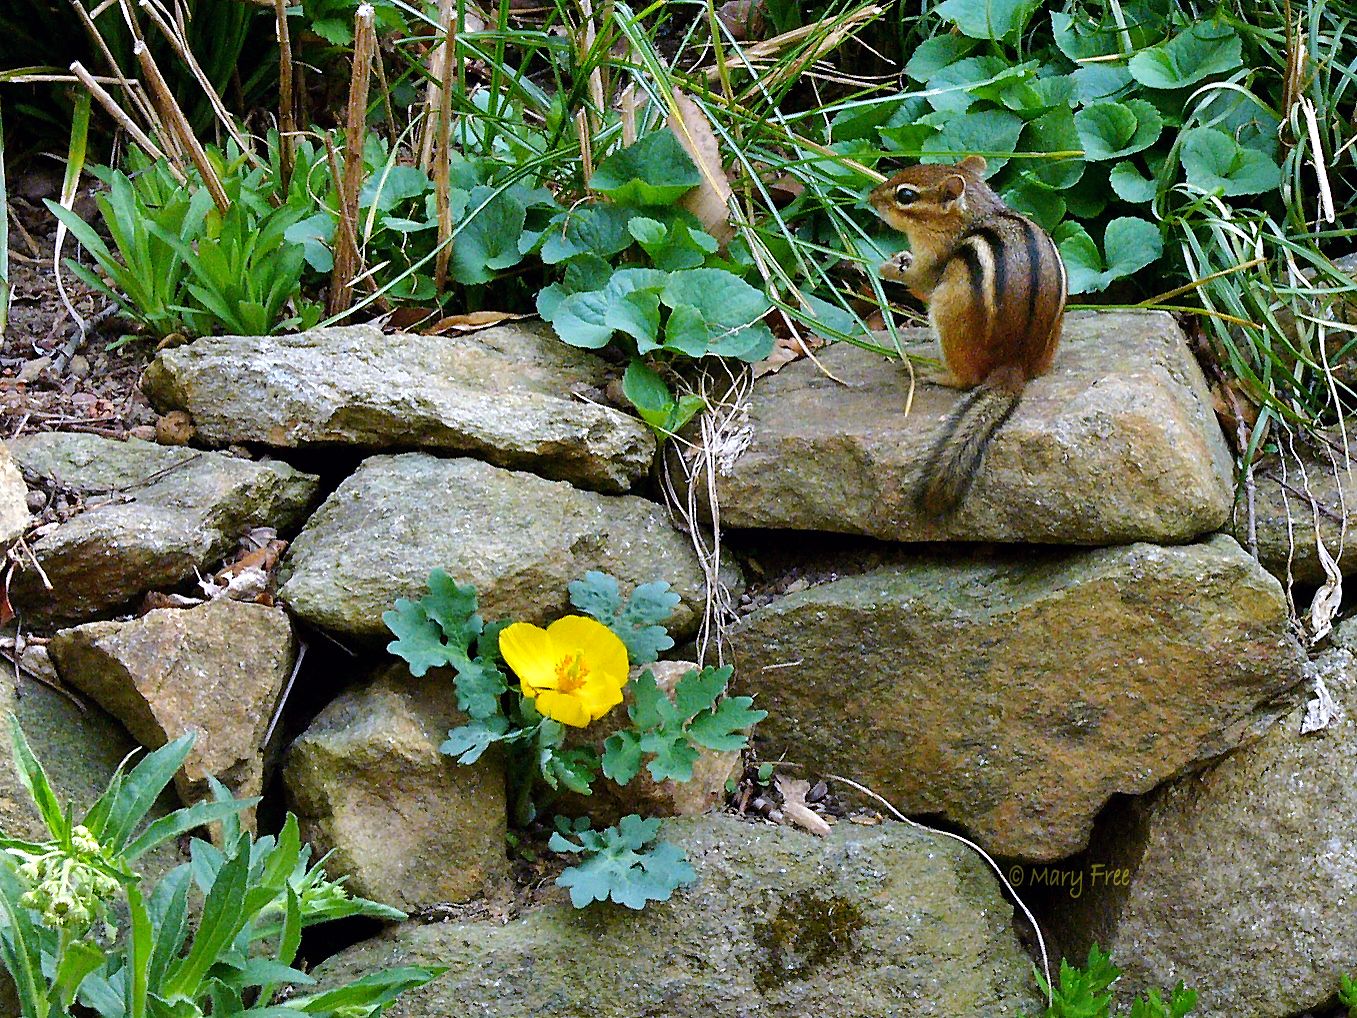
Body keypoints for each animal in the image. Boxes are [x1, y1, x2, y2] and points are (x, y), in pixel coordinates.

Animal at [868, 155, 1067, 514]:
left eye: (905, 195)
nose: (871, 198)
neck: (973, 212)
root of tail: (1013, 365)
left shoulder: (935, 262)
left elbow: (919, 280)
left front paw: (890, 267)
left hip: (948, 313)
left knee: (967, 379)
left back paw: (934, 373)